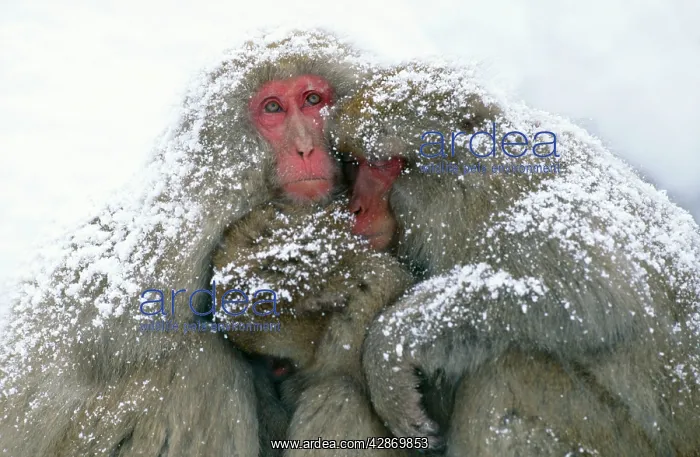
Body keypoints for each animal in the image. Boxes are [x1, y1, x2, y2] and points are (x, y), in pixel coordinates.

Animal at [0, 30, 370, 457]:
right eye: (273, 108)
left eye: (312, 100)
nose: (305, 147)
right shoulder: (183, 223)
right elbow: (102, 333)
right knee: (199, 364)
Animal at [334, 63, 700, 456]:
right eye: (354, 164)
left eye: (380, 165)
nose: (355, 209)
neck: (466, 188)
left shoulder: (531, 216)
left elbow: (599, 296)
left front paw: (387, 351)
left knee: (508, 367)